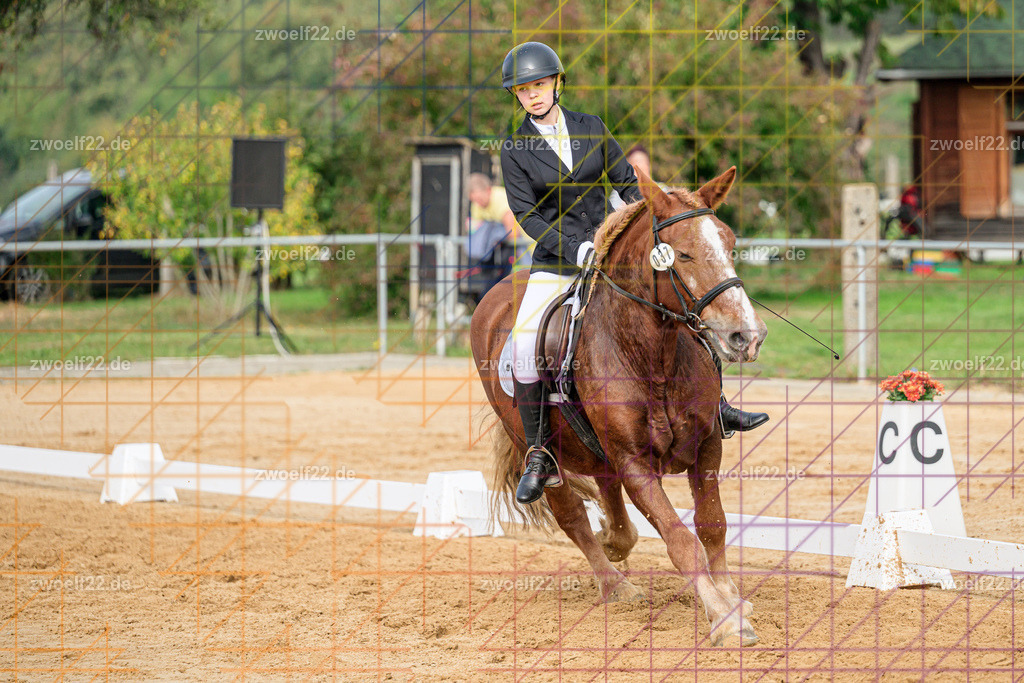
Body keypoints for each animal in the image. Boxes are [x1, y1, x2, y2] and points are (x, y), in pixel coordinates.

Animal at [469, 165, 767, 647]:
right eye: (683, 254)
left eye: (729, 243)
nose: (746, 335)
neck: (653, 353)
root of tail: (495, 295)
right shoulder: (634, 462)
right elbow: (679, 539)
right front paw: (725, 619)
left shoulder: (707, 446)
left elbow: (713, 525)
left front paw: (730, 598)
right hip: (538, 447)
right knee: (571, 515)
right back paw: (615, 583)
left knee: (610, 502)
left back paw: (614, 538)